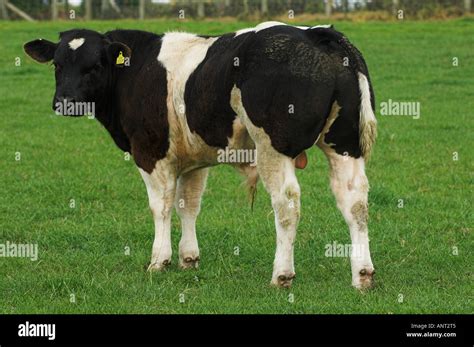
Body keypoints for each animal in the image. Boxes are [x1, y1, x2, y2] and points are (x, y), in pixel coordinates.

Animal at [24, 21, 376, 288]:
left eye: (95, 65)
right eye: (57, 64)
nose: (65, 102)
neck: (137, 69)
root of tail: (314, 33)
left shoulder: (151, 153)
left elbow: (161, 206)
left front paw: (159, 260)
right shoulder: (193, 160)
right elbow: (188, 205)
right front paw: (188, 258)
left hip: (274, 149)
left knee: (287, 203)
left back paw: (282, 275)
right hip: (345, 145)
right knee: (354, 201)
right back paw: (362, 274)